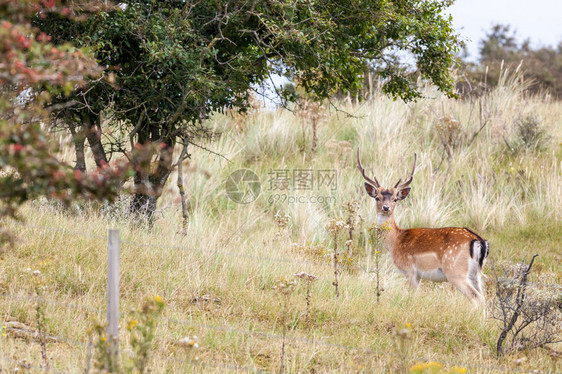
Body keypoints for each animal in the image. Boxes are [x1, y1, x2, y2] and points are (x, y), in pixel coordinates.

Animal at [356, 148, 488, 306]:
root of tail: (479, 241)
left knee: (477, 298)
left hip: (456, 271)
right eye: (377, 198)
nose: (386, 207)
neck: (394, 241)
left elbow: (413, 295)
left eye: (395, 199)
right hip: (476, 274)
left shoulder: (409, 270)